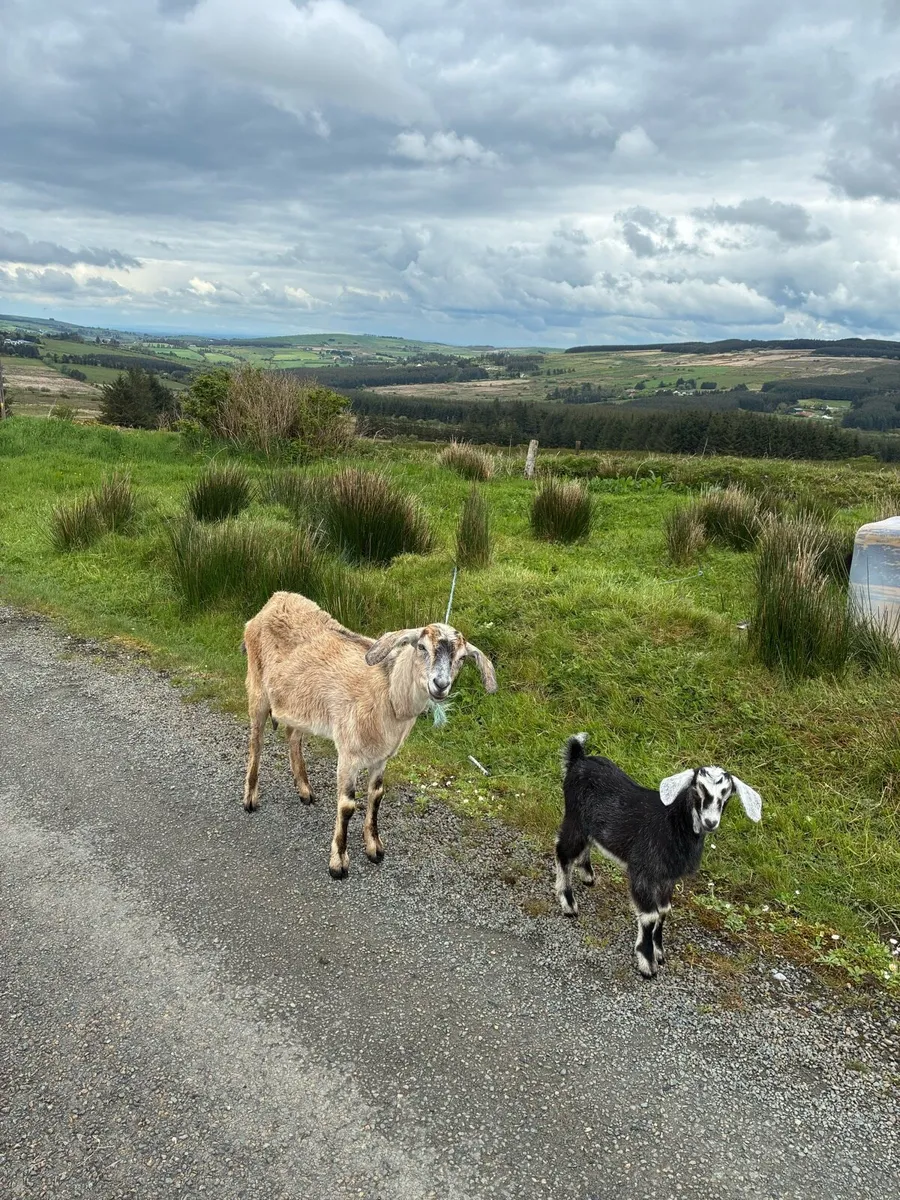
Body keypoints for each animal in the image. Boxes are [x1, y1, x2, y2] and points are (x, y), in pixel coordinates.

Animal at [241, 591, 497, 878]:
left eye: (462, 658)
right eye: (421, 647)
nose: (440, 685)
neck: (388, 691)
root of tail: (275, 600)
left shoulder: (381, 756)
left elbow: (376, 795)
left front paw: (374, 848)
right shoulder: (348, 752)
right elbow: (347, 805)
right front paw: (338, 863)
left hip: (296, 704)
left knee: (293, 737)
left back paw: (305, 791)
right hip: (257, 687)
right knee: (256, 742)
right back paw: (250, 798)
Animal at [555, 734, 762, 978]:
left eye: (727, 795)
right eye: (697, 789)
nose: (710, 822)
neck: (672, 824)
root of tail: (578, 758)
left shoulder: (667, 878)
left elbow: (663, 911)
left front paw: (659, 951)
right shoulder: (643, 872)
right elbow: (650, 915)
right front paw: (647, 963)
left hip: (588, 825)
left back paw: (587, 875)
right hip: (575, 818)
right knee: (562, 852)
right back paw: (569, 904)